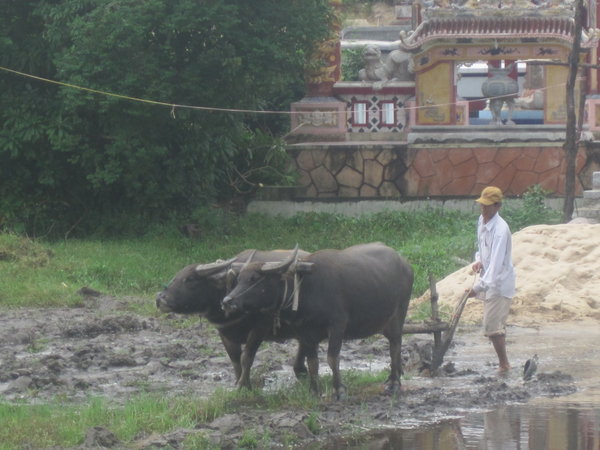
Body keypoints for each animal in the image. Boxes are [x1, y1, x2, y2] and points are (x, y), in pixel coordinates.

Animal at [155, 248, 310, 388]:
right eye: (176, 276)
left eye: (190, 279)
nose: (160, 299)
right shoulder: (225, 332)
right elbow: (234, 359)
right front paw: (238, 383)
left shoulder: (259, 329)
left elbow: (246, 357)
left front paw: (243, 385)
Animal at [220, 243, 412, 398]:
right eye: (238, 279)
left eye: (255, 279)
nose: (227, 301)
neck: (305, 289)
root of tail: (404, 263)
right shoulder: (305, 333)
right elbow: (313, 363)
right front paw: (314, 391)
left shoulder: (337, 326)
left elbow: (332, 358)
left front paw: (339, 390)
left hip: (398, 316)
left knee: (395, 346)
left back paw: (394, 382)